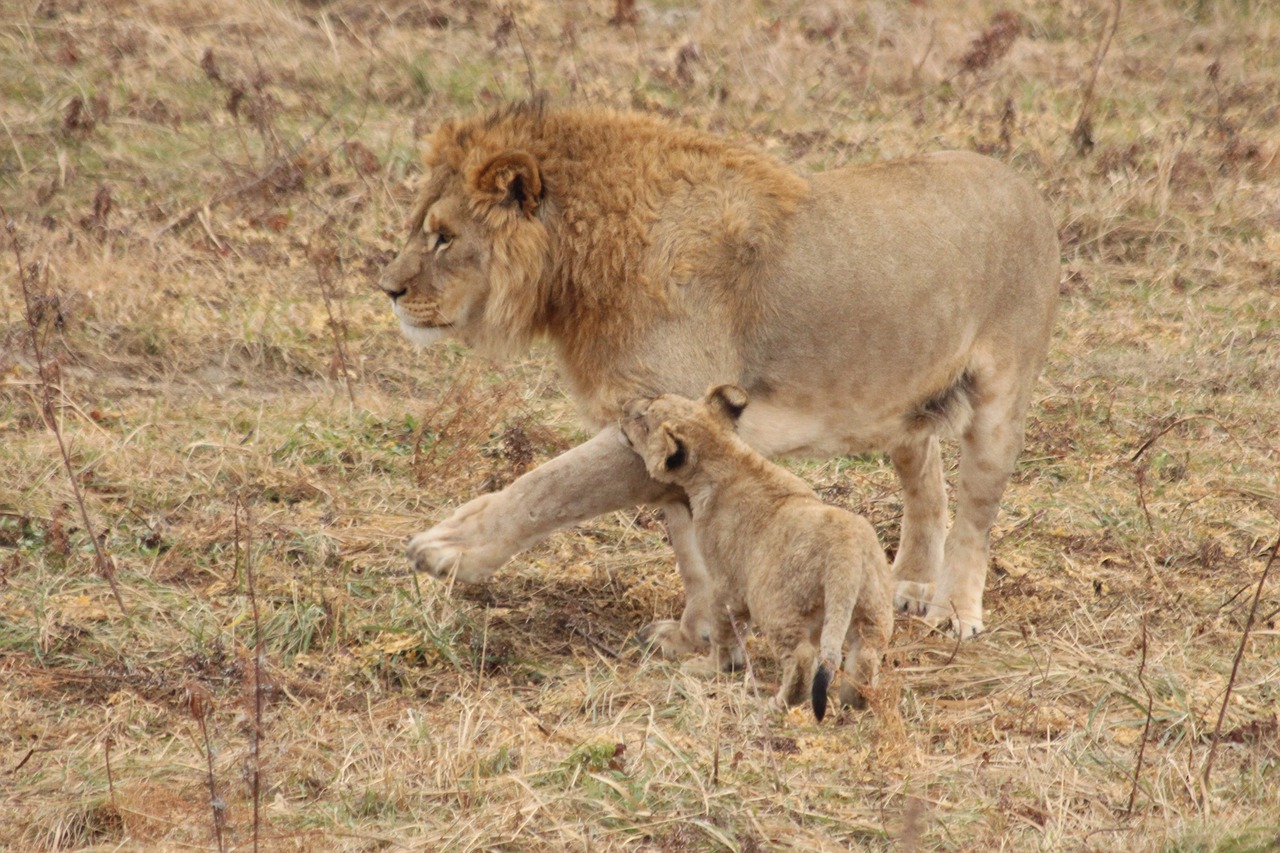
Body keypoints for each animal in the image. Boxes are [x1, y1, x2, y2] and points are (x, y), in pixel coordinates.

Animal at [379, 100, 1059, 646]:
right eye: (420, 228)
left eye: (443, 238)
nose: (387, 289)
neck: (578, 269)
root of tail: (1024, 183)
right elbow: (693, 553)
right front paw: (695, 638)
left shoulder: (672, 409)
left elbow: (548, 485)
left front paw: (448, 549)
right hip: (902, 400)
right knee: (928, 483)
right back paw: (911, 584)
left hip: (999, 403)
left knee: (976, 515)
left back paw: (953, 612)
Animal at [620, 385, 893, 721]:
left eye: (642, 418)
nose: (623, 407)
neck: (727, 455)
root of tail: (847, 549)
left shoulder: (727, 585)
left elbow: (724, 632)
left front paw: (711, 667)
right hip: (872, 608)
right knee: (865, 654)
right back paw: (853, 702)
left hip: (774, 603)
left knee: (803, 659)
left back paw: (776, 704)